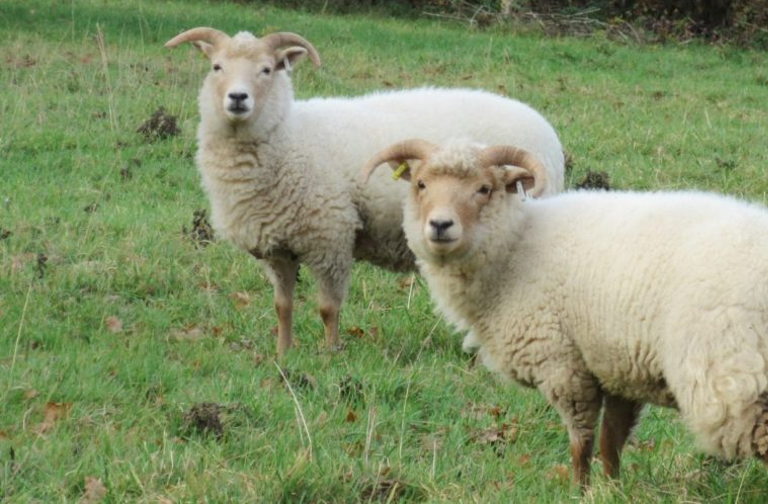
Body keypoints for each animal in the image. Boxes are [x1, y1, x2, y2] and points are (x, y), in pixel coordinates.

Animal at [164, 27, 565, 356]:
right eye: (216, 66)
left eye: (267, 69)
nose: (237, 98)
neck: (290, 138)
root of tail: (545, 128)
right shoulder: (276, 247)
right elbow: (282, 306)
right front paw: (284, 354)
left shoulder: (330, 236)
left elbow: (328, 307)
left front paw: (331, 355)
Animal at [362, 138, 768, 488]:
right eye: (421, 184)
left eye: (484, 188)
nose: (440, 225)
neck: (516, 247)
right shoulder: (618, 364)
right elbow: (611, 441)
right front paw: (613, 488)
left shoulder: (563, 364)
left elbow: (581, 440)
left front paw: (579, 489)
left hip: (732, 374)